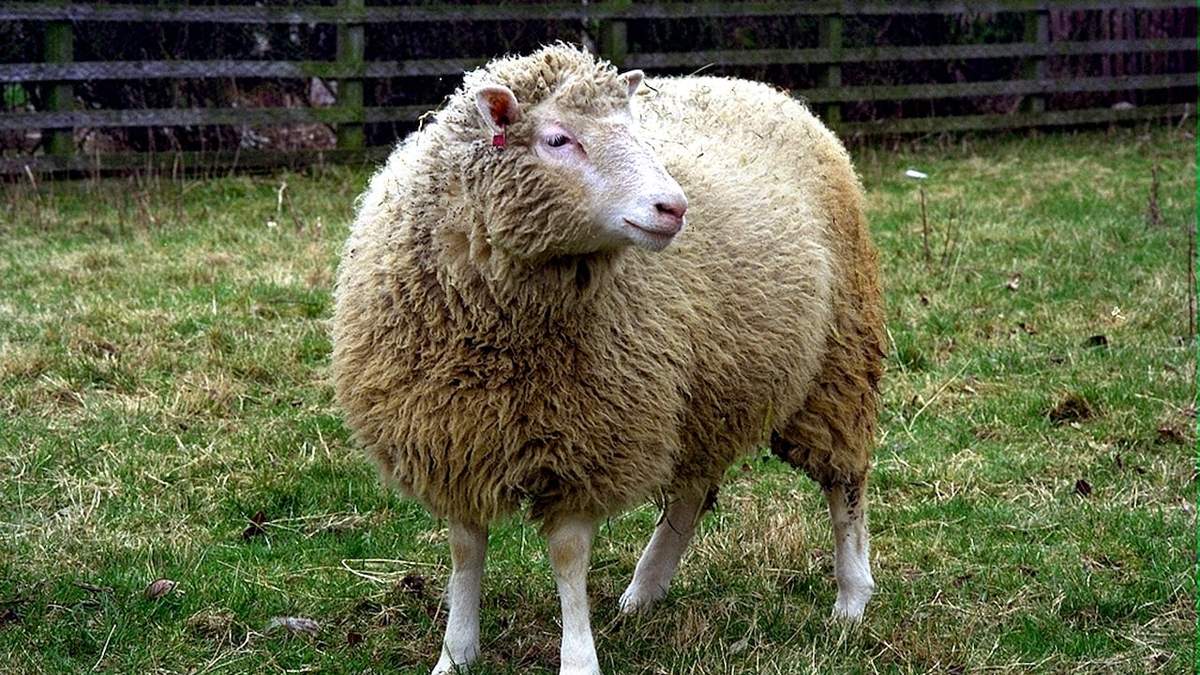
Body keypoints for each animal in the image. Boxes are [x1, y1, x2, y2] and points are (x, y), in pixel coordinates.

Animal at [331, 44, 884, 675]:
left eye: (637, 130)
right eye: (557, 139)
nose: (674, 207)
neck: (498, 338)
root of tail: (755, 86)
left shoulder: (588, 439)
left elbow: (568, 555)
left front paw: (578, 657)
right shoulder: (454, 438)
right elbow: (465, 549)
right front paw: (456, 653)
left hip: (838, 358)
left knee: (844, 482)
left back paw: (851, 597)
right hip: (707, 389)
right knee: (693, 492)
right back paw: (645, 590)